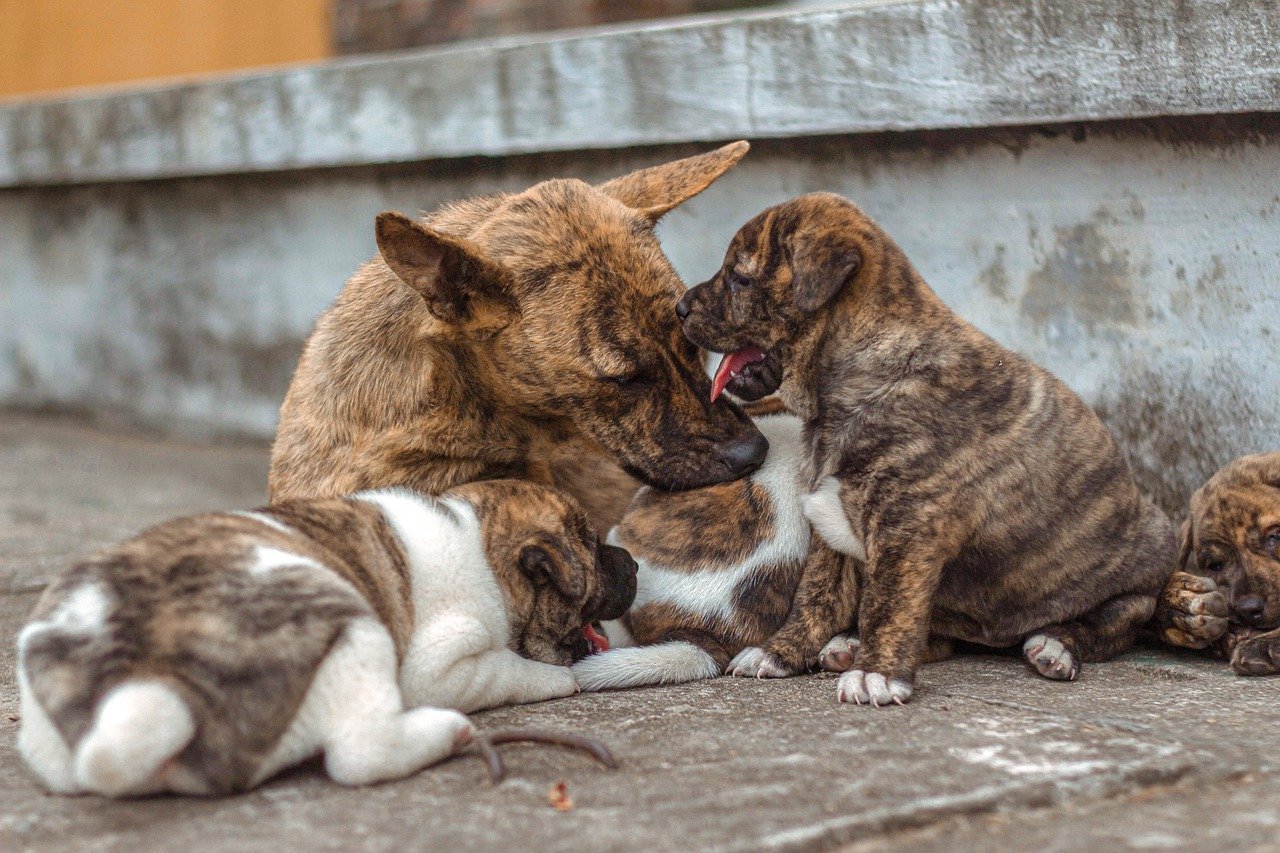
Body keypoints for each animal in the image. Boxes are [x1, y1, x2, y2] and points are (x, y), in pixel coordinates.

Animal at [17, 473, 637, 794]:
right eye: (591, 547)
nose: (630, 560)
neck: (479, 534)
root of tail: (150, 677)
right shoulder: (439, 666)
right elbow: (510, 669)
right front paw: (555, 678)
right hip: (354, 627)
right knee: (359, 753)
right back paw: (445, 732)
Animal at [675, 192, 1172, 701]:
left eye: (739, 278)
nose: (679, 307)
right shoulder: (828, 527)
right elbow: (814, 596)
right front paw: (779, 653)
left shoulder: (908, 527)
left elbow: (888, 604)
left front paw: (876, 674)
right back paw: (848, 645)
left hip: (1141, 578)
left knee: (1108, 626)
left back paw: (1056, 645)